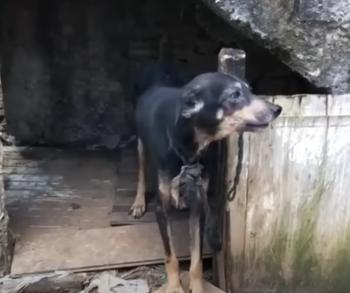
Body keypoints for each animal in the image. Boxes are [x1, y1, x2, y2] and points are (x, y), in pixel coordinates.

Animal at [130, 71, 280, 292]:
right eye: (234, 94)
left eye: (249, 89)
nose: (277, 109)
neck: (188, 147)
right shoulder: (161, 209)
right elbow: (170, 256)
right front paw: (174, 287)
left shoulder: (199, 206)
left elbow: (196, 261)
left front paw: (197, 287)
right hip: (141, 145)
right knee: (141, 173)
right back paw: (138, 202)